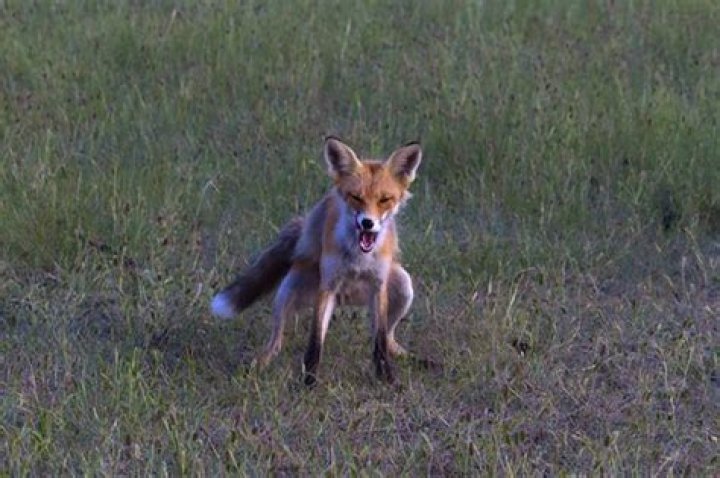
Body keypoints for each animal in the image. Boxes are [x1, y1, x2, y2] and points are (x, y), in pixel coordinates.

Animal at [211, 137, 422, 385]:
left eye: (385, 200)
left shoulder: (379, 286)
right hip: (288, 290)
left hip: (403, 286)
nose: (367, 223)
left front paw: (387, 379)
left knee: (388, 339)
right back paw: (259, 364)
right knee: (276, 342)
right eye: (356, 197)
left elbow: (379, 343)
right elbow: (315, 342)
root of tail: (346, 299)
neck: (358, 258)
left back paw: (410, 358)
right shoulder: (327, 285)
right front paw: (308, 382)